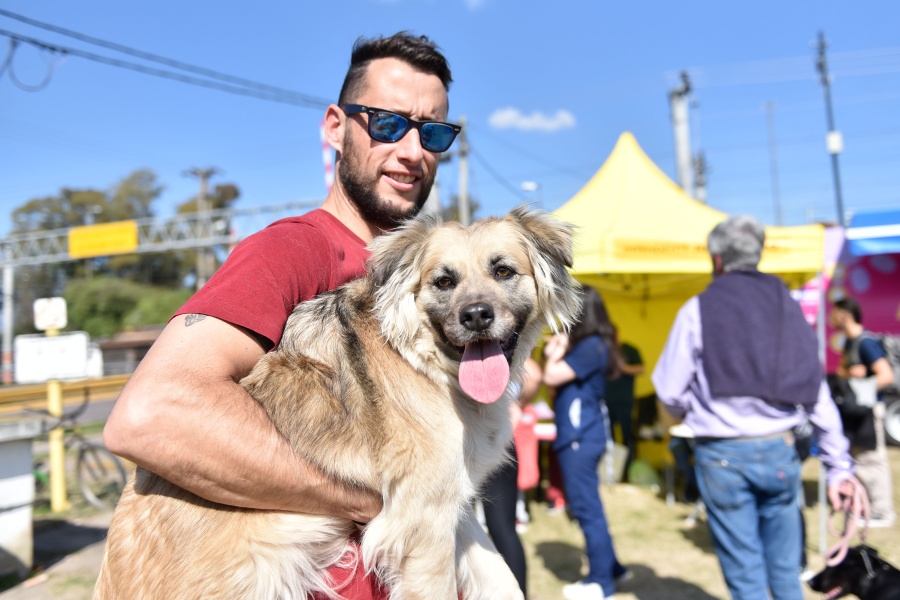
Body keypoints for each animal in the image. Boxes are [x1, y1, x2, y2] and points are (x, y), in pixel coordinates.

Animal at [95, 204, 580, 596]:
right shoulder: (422, 523)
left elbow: (501, 577)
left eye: (504, 271)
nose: (476, 315)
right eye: (444, 281)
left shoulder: (450, 504)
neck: (423, 360)